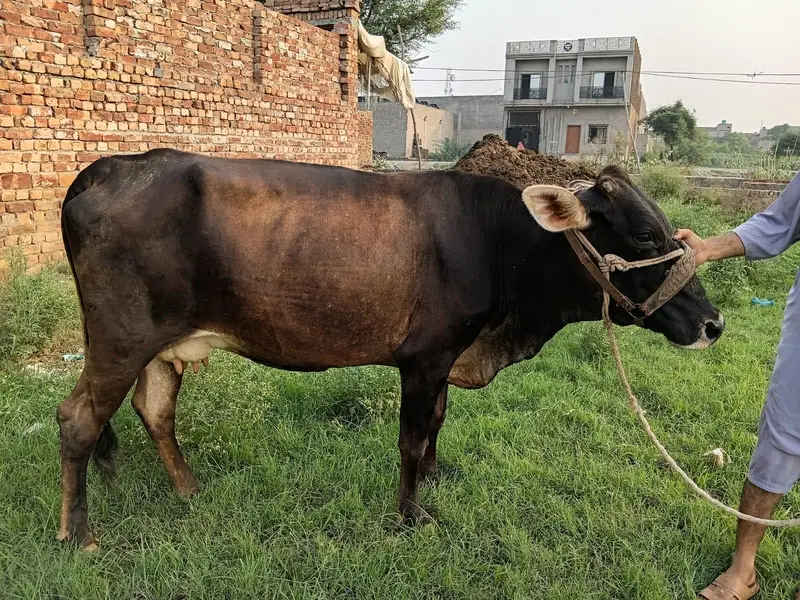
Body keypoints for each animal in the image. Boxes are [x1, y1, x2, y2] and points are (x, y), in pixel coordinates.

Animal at [56, 151, 723, 548]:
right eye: (644, 235)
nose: (714, 323)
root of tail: (107, 167)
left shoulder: (446, 358)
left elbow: (437, 424)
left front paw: (432, 478)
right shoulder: (424, 357)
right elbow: (411, 435)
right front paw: (410, 513)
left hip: (161, 344)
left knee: (154, 409)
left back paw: (189, 489)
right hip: (121, 337)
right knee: (78, 419)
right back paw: (78, 533)